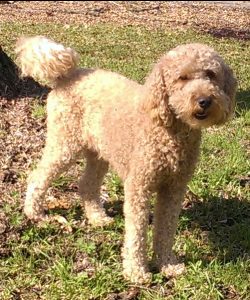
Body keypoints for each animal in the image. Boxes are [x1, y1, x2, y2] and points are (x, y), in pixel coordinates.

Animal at [15, 35, 236, 284]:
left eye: (211, 74)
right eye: (182, 77)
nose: (205, 100)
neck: (170, 130)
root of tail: (68, 75)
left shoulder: (174, 188)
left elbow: (166, 229)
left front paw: (167, 264)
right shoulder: (138, 186)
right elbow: (137, 232)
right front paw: (136, 271)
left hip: (98, 152)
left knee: (87, 185)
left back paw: (97, 218)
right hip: (65, 143)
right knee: (38, 175)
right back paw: (34, 213)